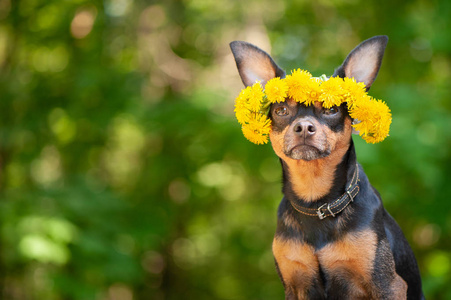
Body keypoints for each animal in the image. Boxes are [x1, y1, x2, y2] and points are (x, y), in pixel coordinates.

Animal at [231, 36, 426, 298]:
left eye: (331, 109)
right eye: (281, 110)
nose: (304, 127)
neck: (316, 202)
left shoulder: (388, 284)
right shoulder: (295, 284)